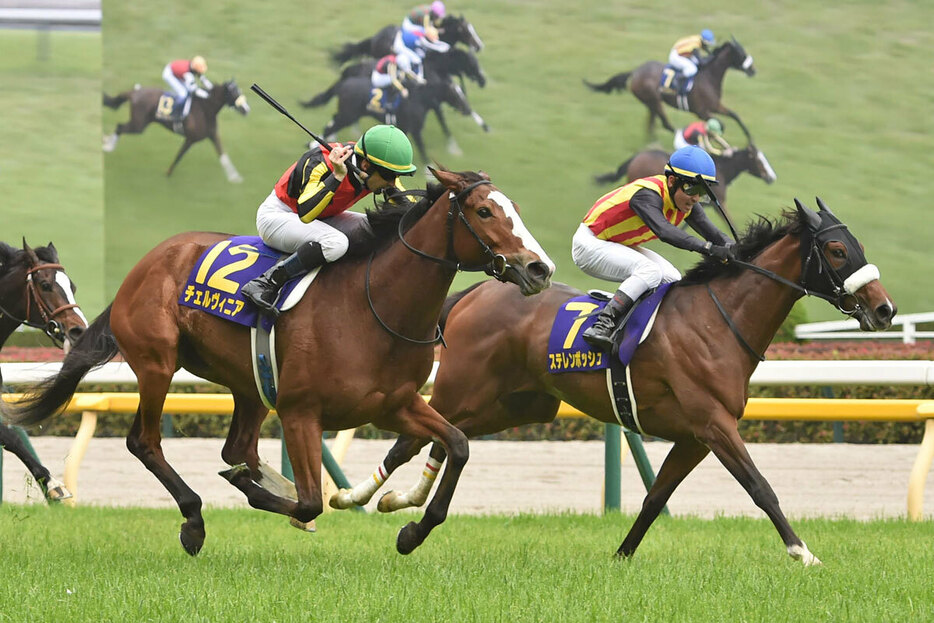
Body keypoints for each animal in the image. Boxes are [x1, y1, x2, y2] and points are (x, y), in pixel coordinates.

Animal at [0, 241, 88, 504]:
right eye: (45, 285)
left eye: (72, 286)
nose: (79, 331)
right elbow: (11, 437)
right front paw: (54, 485)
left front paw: (53, 486)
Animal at [102, 78, 250, 183]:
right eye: (234, 93)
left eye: (240, 91)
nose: (246, 109)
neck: (205, 109)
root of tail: (135, 92)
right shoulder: (190, 139)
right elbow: (179, 156)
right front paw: (168, 173)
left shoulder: (213, 135)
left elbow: (223, 155)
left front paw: (235, 177)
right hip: (138, 125)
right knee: (120, 127)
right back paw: (108, 146)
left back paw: (107, 141)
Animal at [332, 199, 896, 564]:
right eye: (837, 251)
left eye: (859, 244)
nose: (885, 309)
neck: (718, 320)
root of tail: (475, 291)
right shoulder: (715, 425)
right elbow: (761, 488)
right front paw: (803, 553)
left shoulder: (695, 436)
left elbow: (655, 499)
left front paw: (621, 556)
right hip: (467, 388)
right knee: (420, 438)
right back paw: (367, 499)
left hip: (519, 404)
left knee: (438, 439)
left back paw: (394, 504)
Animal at [584, 39, 760, 141]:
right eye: (742, 54)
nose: (753, 70)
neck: (709, 77)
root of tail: (634, 72)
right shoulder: (702, 112)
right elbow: (720, 125)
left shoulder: (715, 106)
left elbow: (735, 116)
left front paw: (749, 137)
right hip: (654, 100)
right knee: (665, 124)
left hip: (650, 103)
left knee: (651, 122)